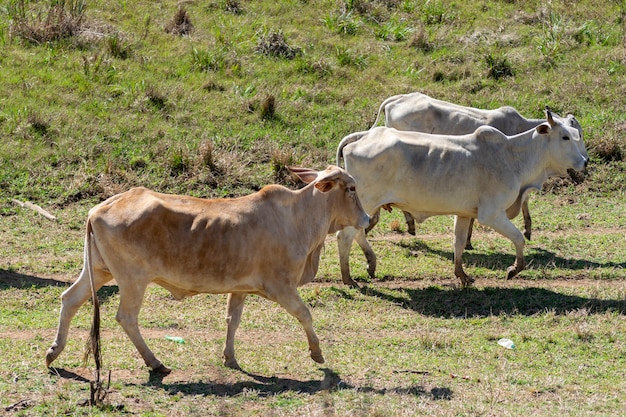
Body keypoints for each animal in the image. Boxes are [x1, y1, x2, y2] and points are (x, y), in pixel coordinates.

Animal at [46, 166, 368, 374]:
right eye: (352, 188)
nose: (366, 219)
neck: (296, 217)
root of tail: (98, 209)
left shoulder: (240, 289)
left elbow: (232, 321)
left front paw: (230, 358)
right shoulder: (282, 287)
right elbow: (305, 314)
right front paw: (317, 353)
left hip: (99, 270)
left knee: (70, 299)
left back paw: (54, 352)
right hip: (132, 279)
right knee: (126, 317)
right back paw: (156, 363)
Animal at [336, 108, 584, 286]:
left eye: (577, 135)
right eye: (565, 137)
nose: (585, 161)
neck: (512, 156)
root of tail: (359, 140)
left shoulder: (465, 213)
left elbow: (459, 243)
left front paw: (461, 275)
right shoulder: (491, 214)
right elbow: (518, 238)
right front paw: (514, 269)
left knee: (357, 234)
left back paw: (370, 264)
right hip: (367, 202)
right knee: (344, 237)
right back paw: (348, 278)